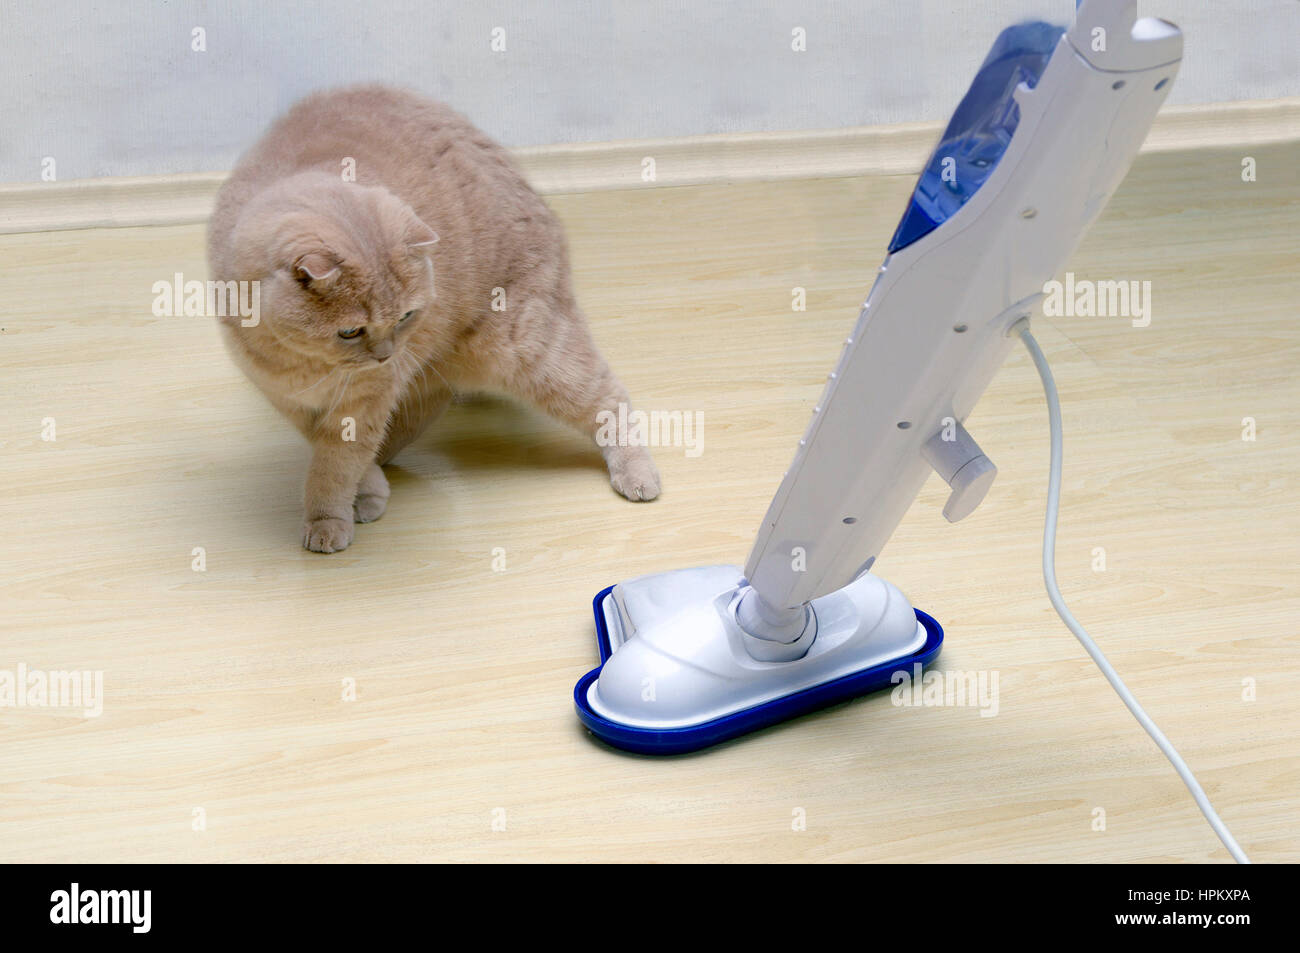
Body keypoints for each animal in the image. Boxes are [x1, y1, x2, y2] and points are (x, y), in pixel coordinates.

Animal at [211, 88, 665, 553]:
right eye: (351, 331)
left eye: (405, 316)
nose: (385, 355)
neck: (307, 366)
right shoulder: (288, 400)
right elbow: (337, 455)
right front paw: (368, 490)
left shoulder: (366, 401)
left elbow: (335, 467)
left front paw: (329, 518)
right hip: (438, 367)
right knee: (428, 406)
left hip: (524, 350)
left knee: (608, 397)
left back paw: (637, 474)